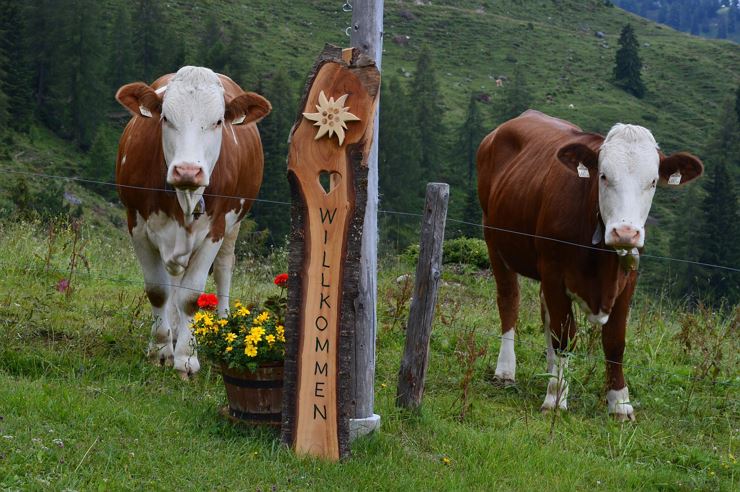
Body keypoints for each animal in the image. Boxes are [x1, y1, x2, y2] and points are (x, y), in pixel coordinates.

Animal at [115, 66, 271, 379]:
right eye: (165, 118)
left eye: (218, 121)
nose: (188, 170)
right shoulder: (136, 223)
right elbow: (159, 291)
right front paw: (161, 349)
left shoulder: (215, 229)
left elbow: (191, 296)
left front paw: (187, 358)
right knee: (174, 278)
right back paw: (174, 332)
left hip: (234, 225)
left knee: (223, 268)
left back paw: (221, 325)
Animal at [477, 110, 703, 420]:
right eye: (604, 176)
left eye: (653, 182)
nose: (625, 232)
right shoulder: (554, 271)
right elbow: (564, 336)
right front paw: (555, 398)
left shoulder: (628, 280)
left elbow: (614, 342)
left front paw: (619, 402)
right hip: (494, 238)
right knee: (509, 300)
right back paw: (506, 371)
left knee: (546, 316)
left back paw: (550, 372)